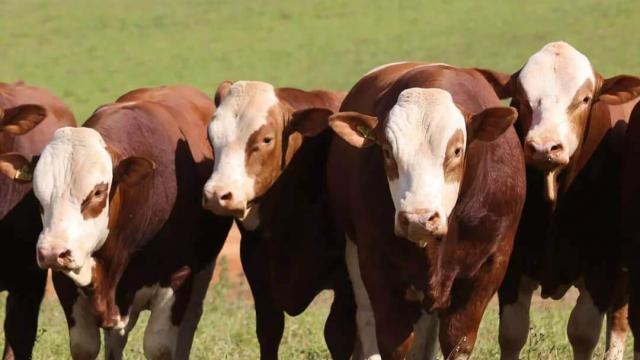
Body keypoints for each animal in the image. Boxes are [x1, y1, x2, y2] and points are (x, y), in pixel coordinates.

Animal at [201, 80, 356, 358]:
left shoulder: (348, 285)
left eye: (266, 139)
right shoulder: (259, 274)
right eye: (211, 136)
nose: (217, 195)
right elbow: (269, 331)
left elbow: (338, 336)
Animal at [328, 60, 528, 358]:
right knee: (366, 317)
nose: (418, 219)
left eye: (456, 150)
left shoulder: (490, 265)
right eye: (387, 151)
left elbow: (458, 340)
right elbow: (392, 340)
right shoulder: (376, 263)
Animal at [480, 40, 640, 358]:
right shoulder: (513, 268)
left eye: (585, 98)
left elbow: (583, 333)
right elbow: (512, 333)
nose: (545, 147)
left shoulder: (601, 269)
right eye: (521, 97)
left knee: (618, 322)